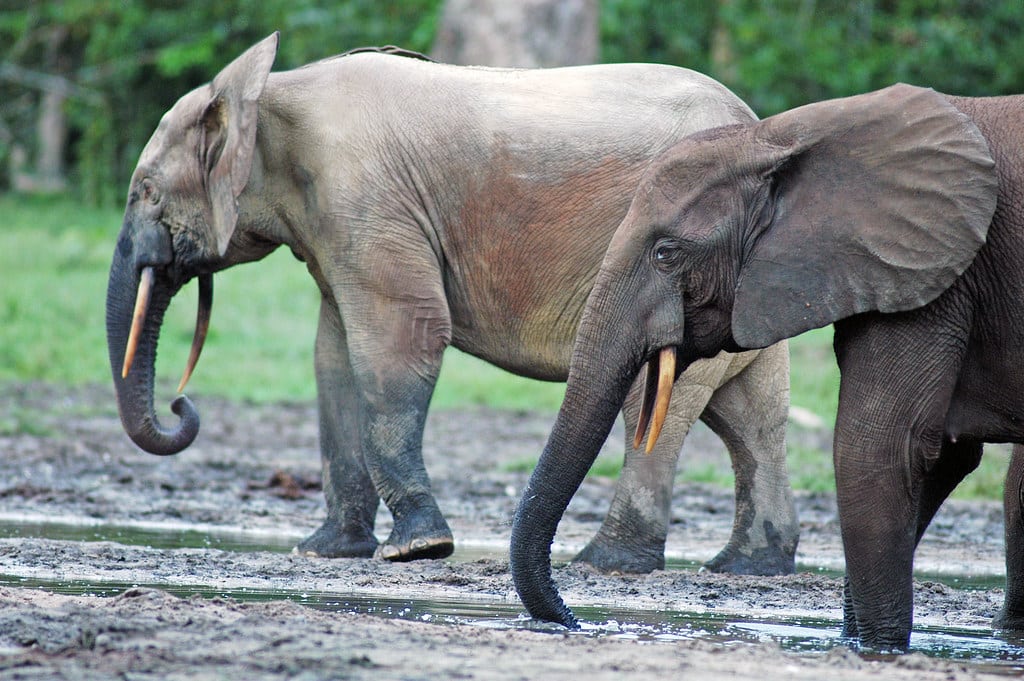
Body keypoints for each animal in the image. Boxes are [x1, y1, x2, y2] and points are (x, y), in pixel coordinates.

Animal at [105, 32, 798, 575]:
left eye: (146, 192)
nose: (181, 404)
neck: (269, 95)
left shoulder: (366, 199)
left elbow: (398, 340)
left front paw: (416, 551)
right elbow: (333, 357)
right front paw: (325, 552)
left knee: (657, 404)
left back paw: (607, 564)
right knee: (750, 418)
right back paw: (748, 567)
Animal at [509, 82, 1024, 650]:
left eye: (666, 254)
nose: (574, 619)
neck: (780, 138)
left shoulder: (937, 276)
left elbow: (884, 447)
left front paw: (876, 648)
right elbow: (944, 456)